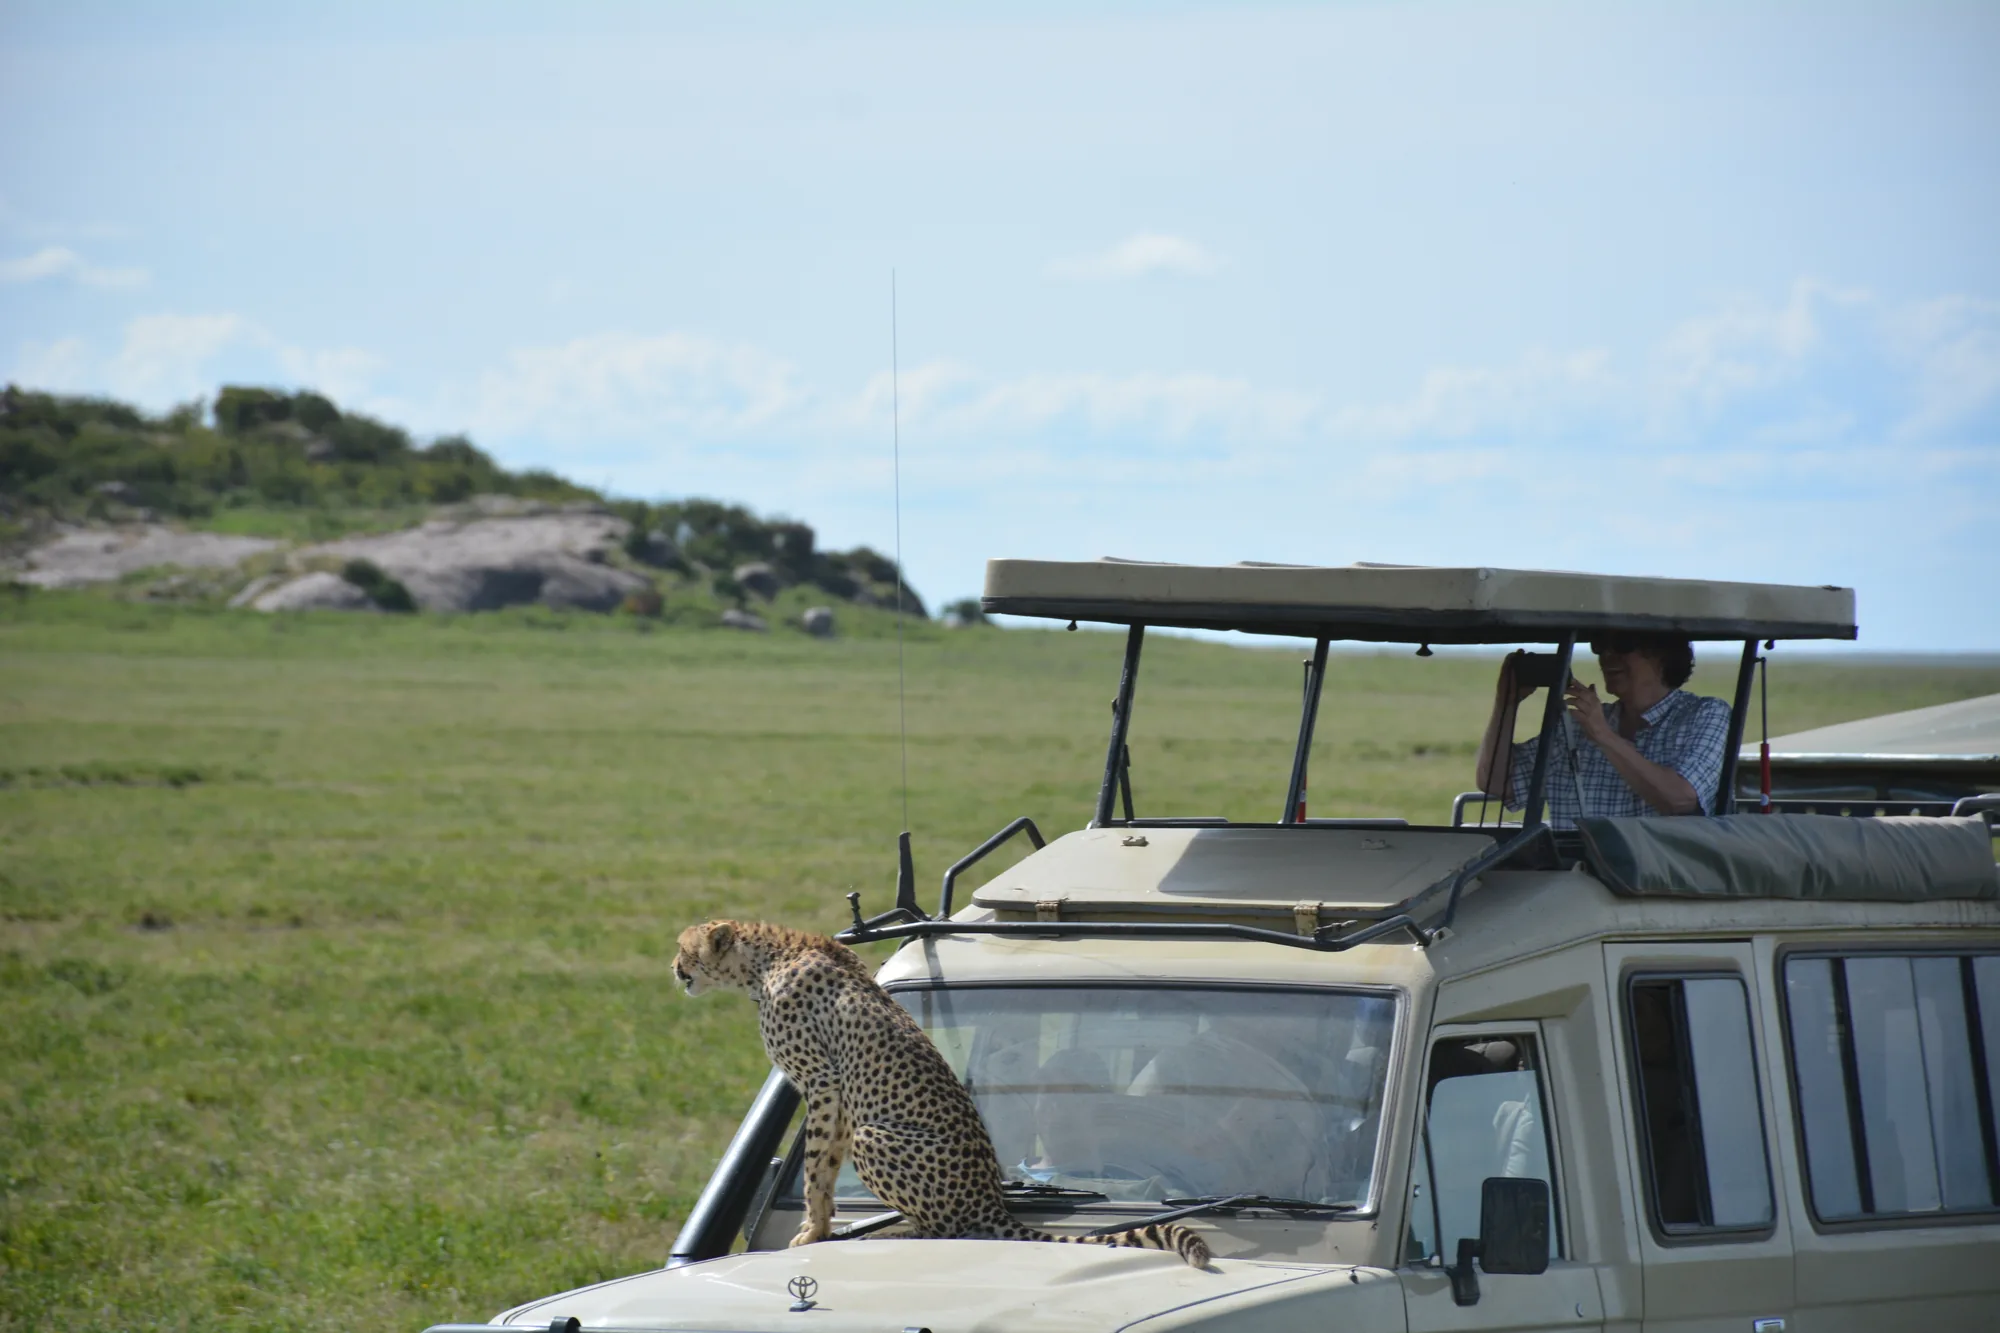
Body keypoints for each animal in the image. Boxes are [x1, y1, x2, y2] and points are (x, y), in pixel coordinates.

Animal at [673, 919, 1211, 1267]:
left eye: (683, 948)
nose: (674, 971)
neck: (767, 957)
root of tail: (991, 1201)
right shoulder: (840, 1094)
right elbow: (823, 1165)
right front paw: (820, 1229)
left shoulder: (822, 1081)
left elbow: (815, 1168)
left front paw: (811, 1232)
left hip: (876, 1137)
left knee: (946, 1228)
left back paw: (900, 1231)